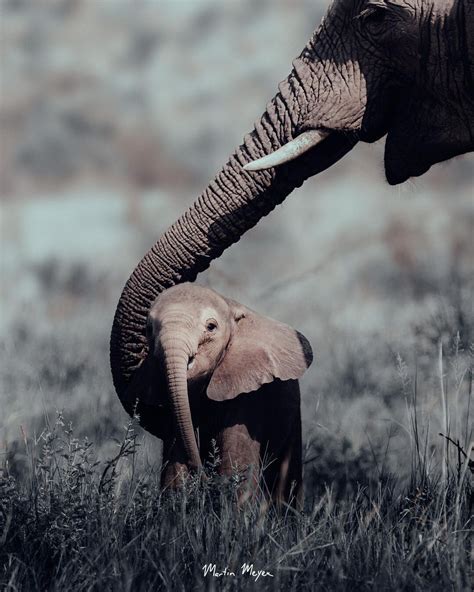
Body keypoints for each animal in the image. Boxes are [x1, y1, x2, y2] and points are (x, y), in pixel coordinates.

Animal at [124, 284, 312, 506]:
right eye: (148, 329)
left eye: (211, 327)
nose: (205, 480)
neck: (228, 305)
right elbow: (175, 466)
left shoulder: (248, 395)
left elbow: (235, 464)